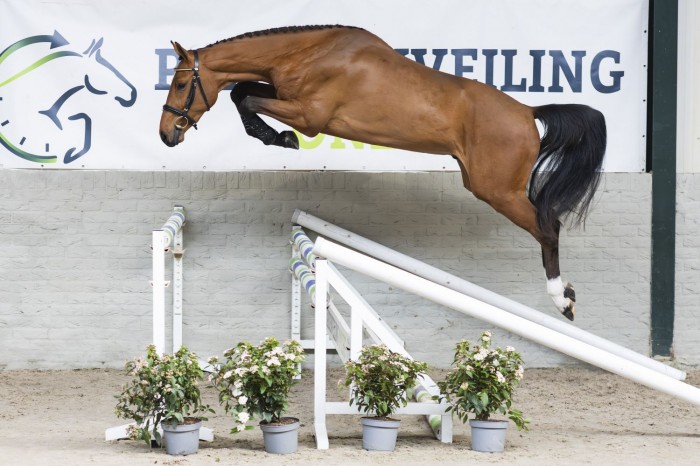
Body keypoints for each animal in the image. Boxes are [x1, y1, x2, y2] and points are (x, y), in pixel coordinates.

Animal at [159, 25, 606, 321]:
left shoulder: (309, 116)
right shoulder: (284, 96)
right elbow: (242, 92)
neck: (308, 54)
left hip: (497, 190)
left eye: (180, 84)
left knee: (548, 227)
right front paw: (277, 137)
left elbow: (247, 98)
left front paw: (281, 139)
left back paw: (562, 298)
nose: (166, 135)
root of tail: (528, 112)